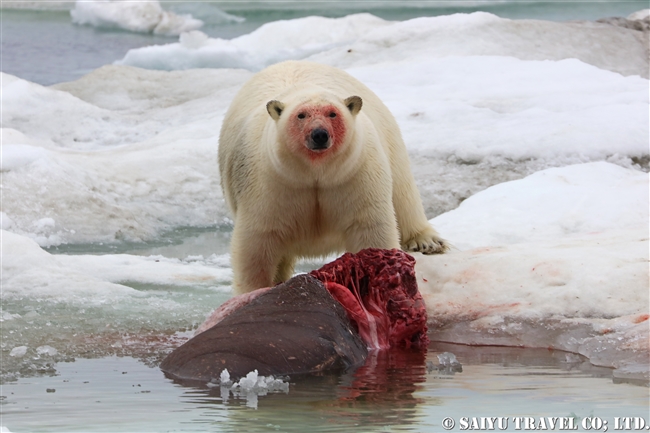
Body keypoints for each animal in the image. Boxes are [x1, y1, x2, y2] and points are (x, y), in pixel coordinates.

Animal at [218, 60, 446, 294]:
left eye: (332, 113)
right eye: (301, 115)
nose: (319, 134)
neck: (315, 173)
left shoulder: (355, 175)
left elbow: (369, 227)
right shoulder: (270, 183)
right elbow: (258, 240)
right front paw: (254, 291)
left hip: (389, 140)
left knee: (403, 192)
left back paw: (426, 241)